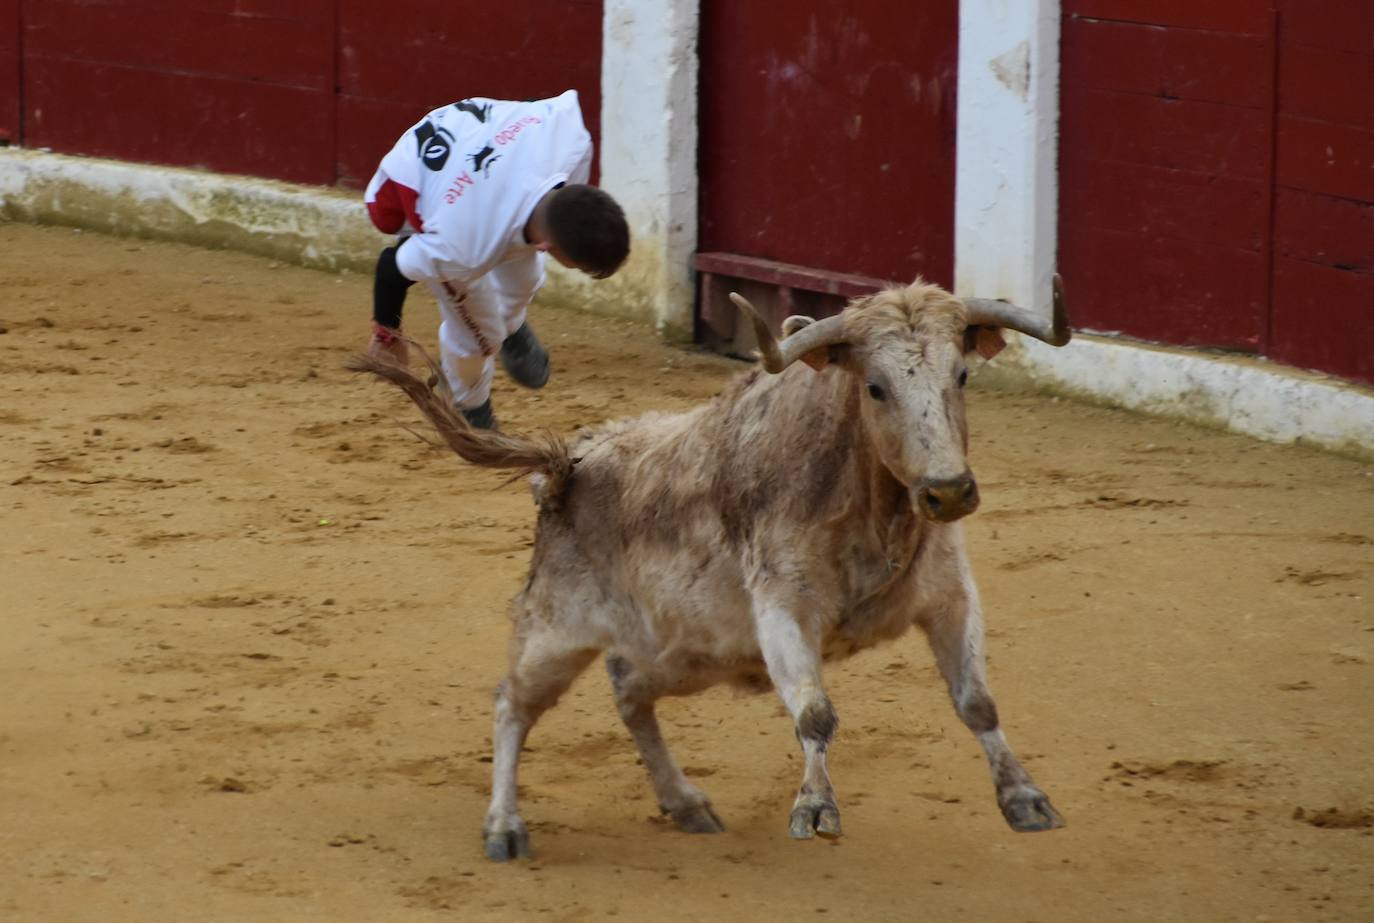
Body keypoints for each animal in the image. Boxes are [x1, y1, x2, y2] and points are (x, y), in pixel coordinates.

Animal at [346, 274, 1071, 857]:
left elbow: (976, 700)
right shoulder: (783, 606)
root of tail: (568, 465)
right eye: (875, 386)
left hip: (682, 652)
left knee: (629, 693)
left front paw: (1025, 798)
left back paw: (685, 801)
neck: (870, 502)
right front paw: (815, 808)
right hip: (554, 631)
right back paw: (504, 826)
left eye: (962, 377)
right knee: (512, 706)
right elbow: (815, 712)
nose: (948, 490)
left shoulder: (949, 594)